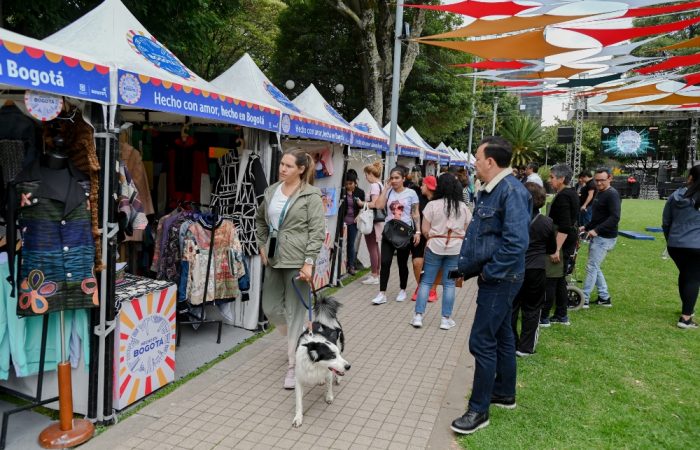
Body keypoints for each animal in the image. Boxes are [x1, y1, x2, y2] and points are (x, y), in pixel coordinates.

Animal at [292, 296, 350, 428]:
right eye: (332, 356)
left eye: (337, 354)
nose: (349, 366)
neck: (315, 365)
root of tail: (323, 322)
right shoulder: (299, 378)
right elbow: (298, 401)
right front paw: (298, 418)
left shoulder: (329, 370)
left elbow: (329, 385)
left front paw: (329, 397)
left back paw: (338, 378)